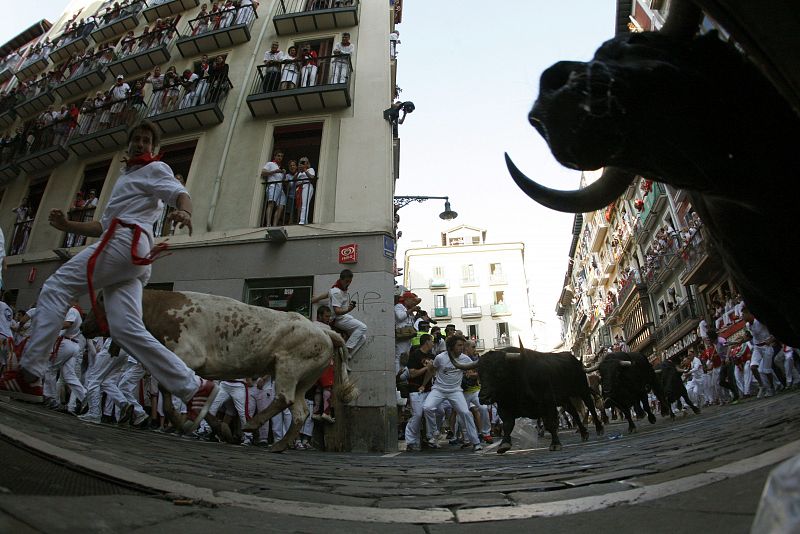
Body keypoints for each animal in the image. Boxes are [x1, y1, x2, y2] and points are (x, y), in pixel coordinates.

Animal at [82, 292, 356, 454]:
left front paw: (184, 422)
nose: (83, 326)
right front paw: (218, 429)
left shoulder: (186, 355)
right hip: (303, 378)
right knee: (300, 411)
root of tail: (323, 330)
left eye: (98, 304)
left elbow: (169, 391)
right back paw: (279, 445)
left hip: (289, 367)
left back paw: (252, 425)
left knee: (284, 399)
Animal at [454, 350, 604, 454]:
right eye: (479, 373)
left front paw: (555, 444)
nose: (483, 397)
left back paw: (599, 428)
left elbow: (551, 423)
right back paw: (584, 433)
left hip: (582, 389)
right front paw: (504, 444)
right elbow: (508, 425)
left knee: (590, 406)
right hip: (564, 398)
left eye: (499, 372)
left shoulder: (548, 403)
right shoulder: (504, 407)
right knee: (573, 412)